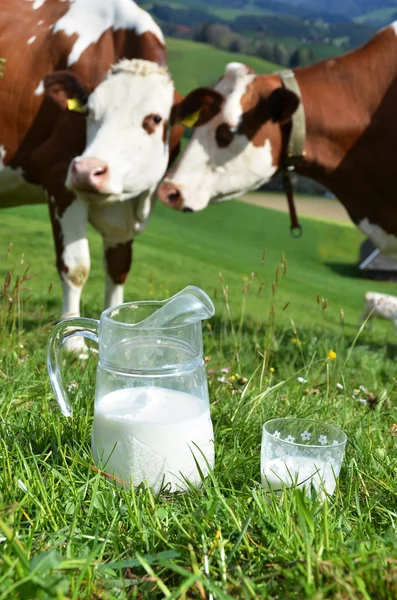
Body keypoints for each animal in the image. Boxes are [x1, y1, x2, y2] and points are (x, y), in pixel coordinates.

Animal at [0, 0, 183, 344]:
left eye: (154, 119)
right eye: (89, 112)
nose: (87, 170)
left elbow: (118, 268)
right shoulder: (60, 179)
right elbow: (76, 267)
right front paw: (74, 343)